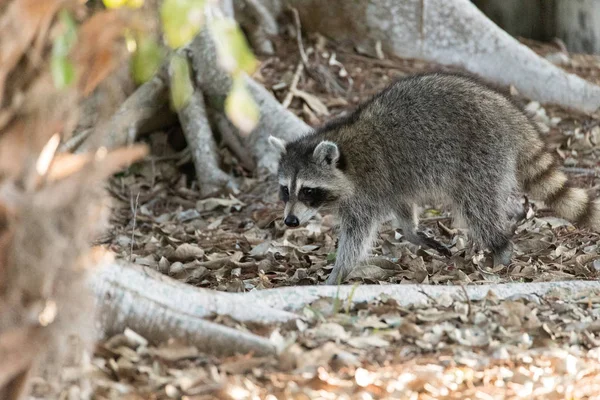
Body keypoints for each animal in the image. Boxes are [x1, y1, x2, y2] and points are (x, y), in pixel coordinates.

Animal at [270, 72, 600, 284]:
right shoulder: (391, 185)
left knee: (478, 207)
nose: (290, 221)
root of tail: (510, 113)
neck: (344, 155)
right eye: (286, 190)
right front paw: (413, 233)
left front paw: (337, 274)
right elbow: (403, 210)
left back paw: (501, 248)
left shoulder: (369, 186)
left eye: (308, 191)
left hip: (482, 154)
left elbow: (357, 236)